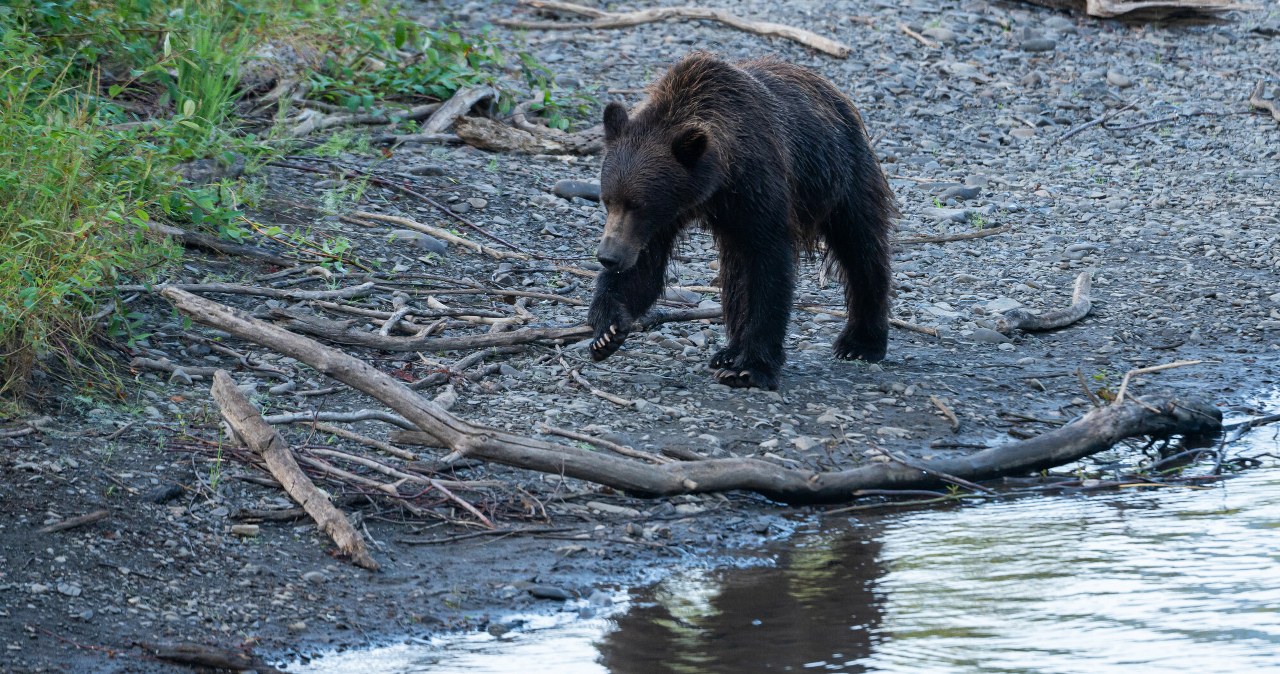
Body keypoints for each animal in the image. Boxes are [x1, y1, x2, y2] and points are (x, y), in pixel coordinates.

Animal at [587, 52, 896, 390]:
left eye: (638, 205)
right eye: (608, 200)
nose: (608, 256)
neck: (719, 180)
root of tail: (835, 93)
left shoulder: (759, 187)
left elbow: (768, 266)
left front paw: (751, 368)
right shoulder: (667, 219)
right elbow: (643, 270)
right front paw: (607, 330)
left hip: (841, 175)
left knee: (861, 249)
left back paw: (861, 341)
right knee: (735, 275)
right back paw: (729, 351)